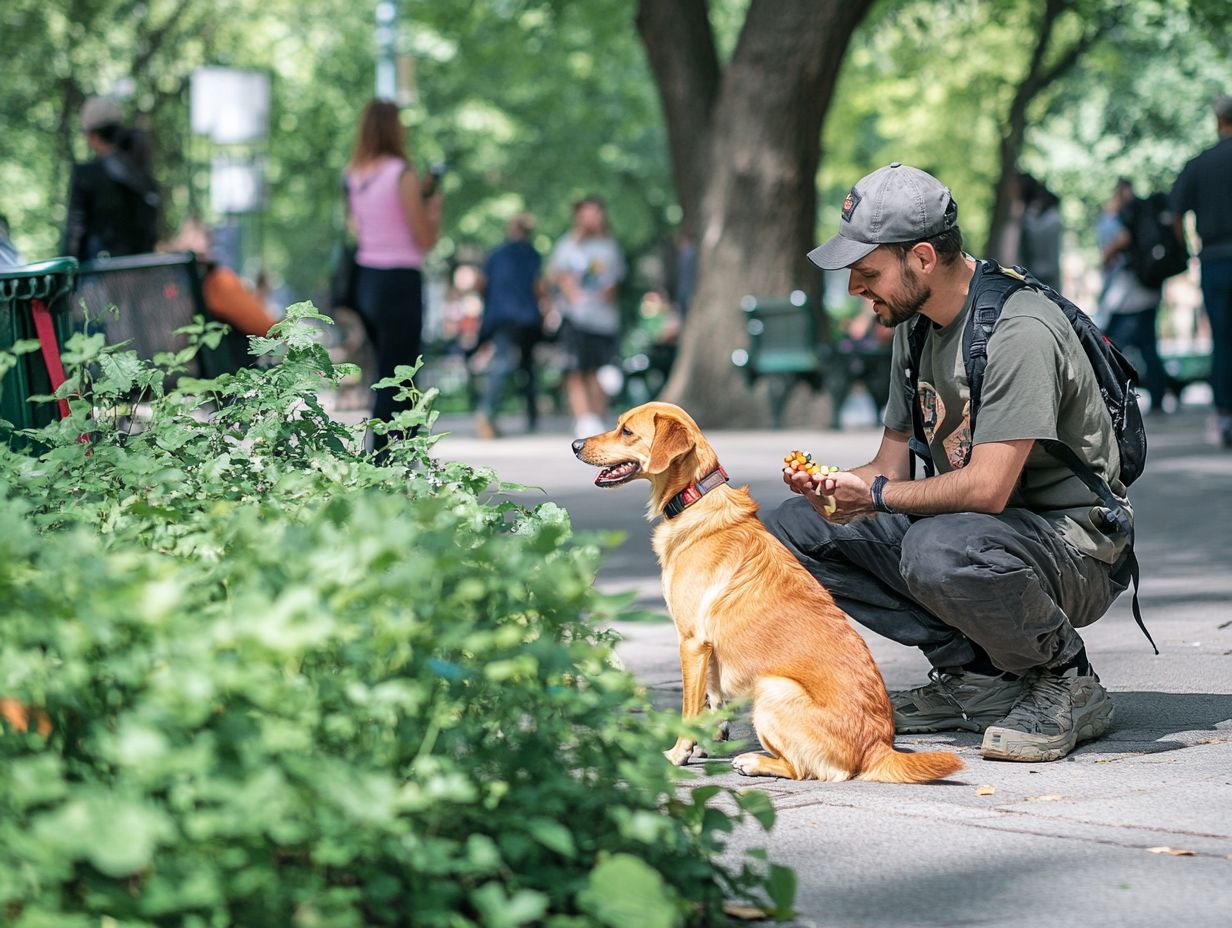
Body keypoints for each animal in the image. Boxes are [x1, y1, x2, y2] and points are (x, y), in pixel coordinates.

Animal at [569, 399, 960, 783]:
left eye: (626, 431)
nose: (574, 444)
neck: (696, 499)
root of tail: (877, 746)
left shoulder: (691, 642)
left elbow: (689, 709)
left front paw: (678, 753)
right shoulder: (708, 647)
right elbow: (713, 697)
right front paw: (708, 740)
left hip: (771, 688)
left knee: (803, 770)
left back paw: (754, 762)